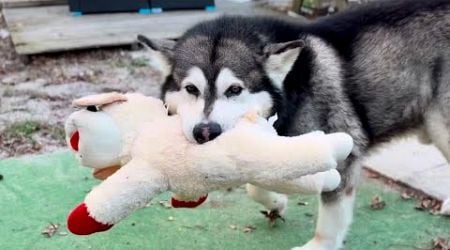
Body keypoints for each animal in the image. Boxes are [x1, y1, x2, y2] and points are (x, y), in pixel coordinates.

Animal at [137, 0, 450, 248]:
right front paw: (276, 203)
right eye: (191, 89)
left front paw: (320, 245)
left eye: (235, 90)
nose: (205, 132)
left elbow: (331, 213)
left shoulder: (343, 150)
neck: (291, 92)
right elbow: (255, 185)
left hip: (442, 127)